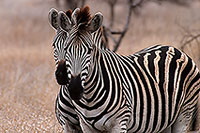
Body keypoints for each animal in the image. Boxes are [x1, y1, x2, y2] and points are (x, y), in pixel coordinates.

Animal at [52, 6, 200, 133]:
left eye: (90, 50)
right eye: (66, 48)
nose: (74, 88)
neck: (89, 96)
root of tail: (173, 48)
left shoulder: (119, 123)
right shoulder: (83, 125)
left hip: (184, 113)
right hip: (163, 122)